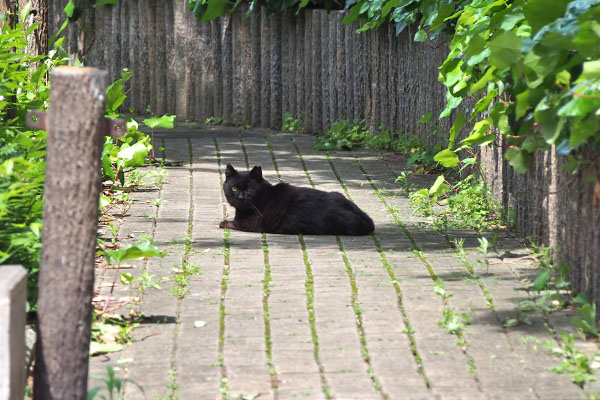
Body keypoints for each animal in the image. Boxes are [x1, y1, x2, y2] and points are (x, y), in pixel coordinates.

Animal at [218, 164, 372, 236]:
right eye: (234, 189)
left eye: (249, 190)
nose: (240, 197)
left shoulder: (251, 224)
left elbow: (232, 223)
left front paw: (224, 222)